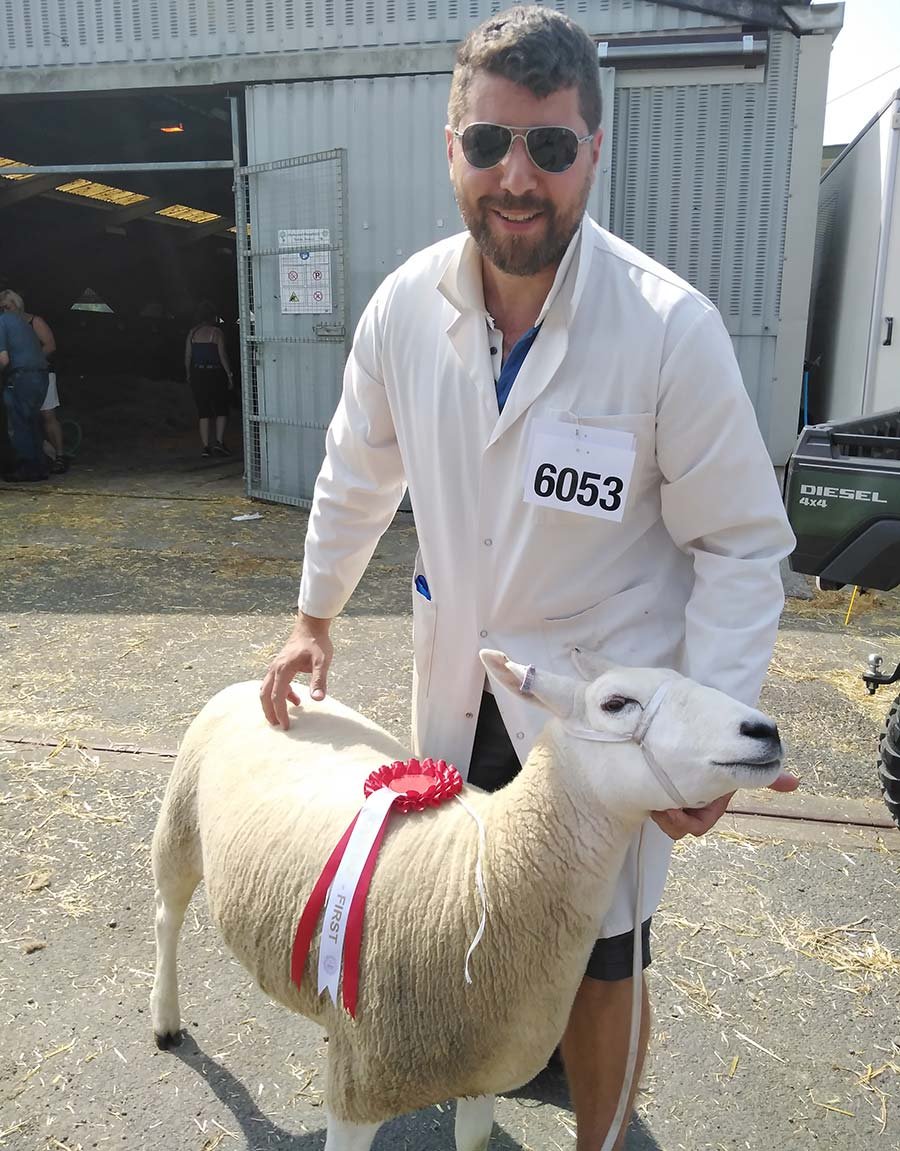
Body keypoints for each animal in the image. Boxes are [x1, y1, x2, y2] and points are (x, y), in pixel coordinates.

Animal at [151, 653, 787, 1146]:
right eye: (615, 703)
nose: (766, 732)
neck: (489, 871)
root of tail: (270, 689)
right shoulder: (361, 1088)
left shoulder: (484, 1067)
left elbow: (473, 1139)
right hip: (178, 830)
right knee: (167, 918)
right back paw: (166, 1021)